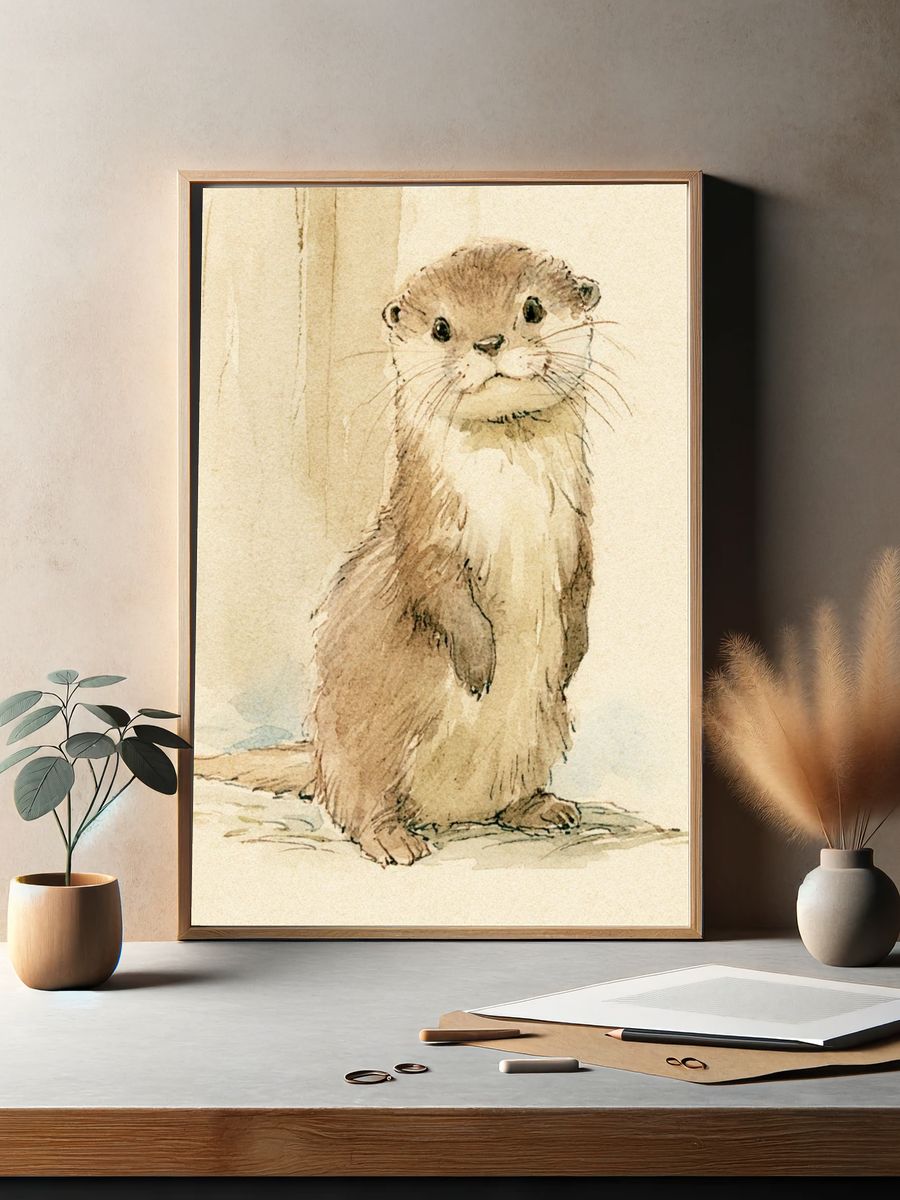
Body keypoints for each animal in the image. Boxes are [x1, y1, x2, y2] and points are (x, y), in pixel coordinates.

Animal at [313, 241, 602, 865]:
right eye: (441, 327)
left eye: (533, 308)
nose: (489, 342)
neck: (511, 494)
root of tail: (448, 812)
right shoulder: (426, 527)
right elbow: (434, 585)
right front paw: (477, 664)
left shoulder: (578, 527)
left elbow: (581, 586)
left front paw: (572, 654)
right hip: (368, 739)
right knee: (358, 801)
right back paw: (393, 839)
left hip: (544, 731)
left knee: (508, 795)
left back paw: (543, 808)